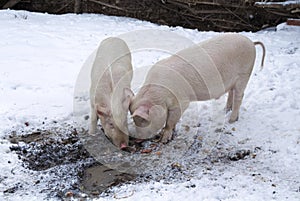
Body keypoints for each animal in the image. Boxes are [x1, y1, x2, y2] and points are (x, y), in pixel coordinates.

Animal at [126, 33, 264, 143]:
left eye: (143, 120)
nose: (137, 139)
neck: (159, 96)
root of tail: (251, 42)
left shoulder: (181, 102)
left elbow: (170, 121)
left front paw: (164, 139)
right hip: (233, 80)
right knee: (231, 92)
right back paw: (225, 110)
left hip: (244, 74)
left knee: (239, 96)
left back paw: (231, 120)